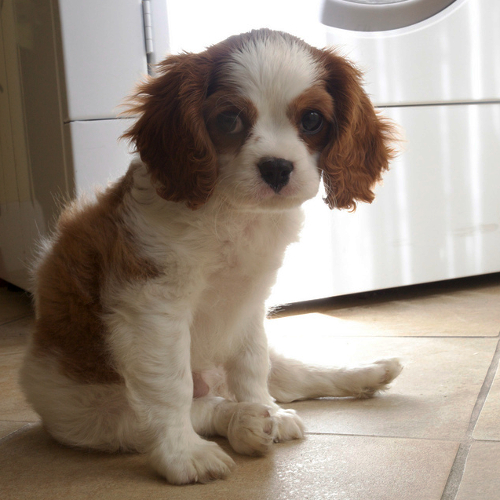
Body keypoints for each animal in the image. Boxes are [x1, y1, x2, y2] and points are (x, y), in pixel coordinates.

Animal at [20, 29, 402, 482]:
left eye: (312, 119)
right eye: (230, 119)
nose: (277, 168)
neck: (233, 212)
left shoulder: (250, 304)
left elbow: (252, 366)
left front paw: (267, 409)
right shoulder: (153, 306)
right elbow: (173, 388)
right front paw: (184, 455)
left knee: (295, 376)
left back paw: (360, 377)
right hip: (101, 416)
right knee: (200, 407)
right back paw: (244, 423)